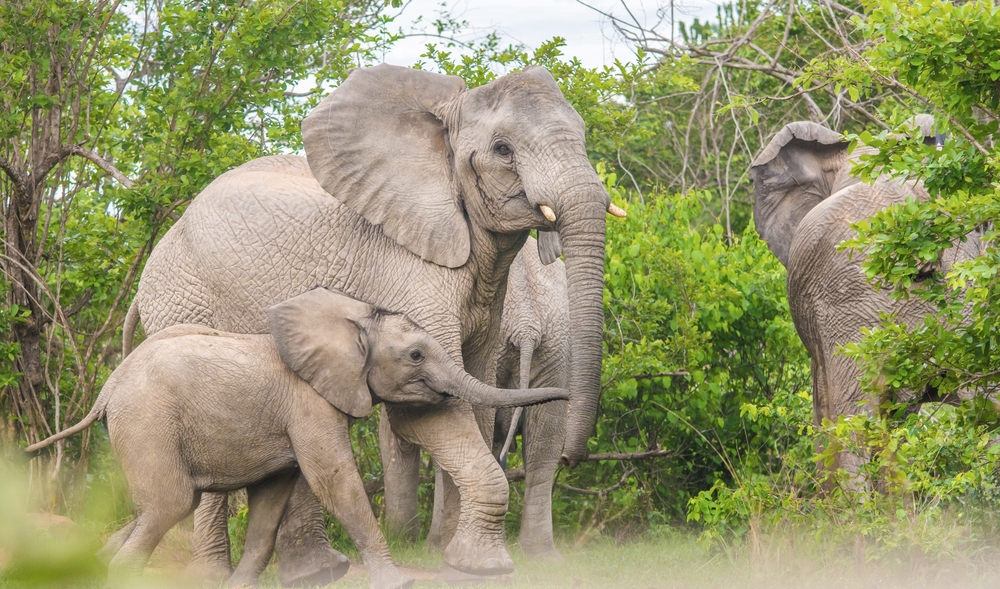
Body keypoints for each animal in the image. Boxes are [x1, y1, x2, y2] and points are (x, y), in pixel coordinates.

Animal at [27, 288, 568, 584]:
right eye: (416, 355)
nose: (562, 393)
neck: (350, 321)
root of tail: (107, 389)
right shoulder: (309, 404)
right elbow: (334, 480)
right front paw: (398, 582)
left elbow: (272, 499)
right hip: (148, 422)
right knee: (171, 503)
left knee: (157, 509)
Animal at [122, 63, 612, 584]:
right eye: (503, 149)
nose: (574, 457)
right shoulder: (407, 274)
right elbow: (426, 412)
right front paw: (480, 566)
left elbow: (476, 398)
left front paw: (456, 558)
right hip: (181, 298)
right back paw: (215, 575)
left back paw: (314, 572)